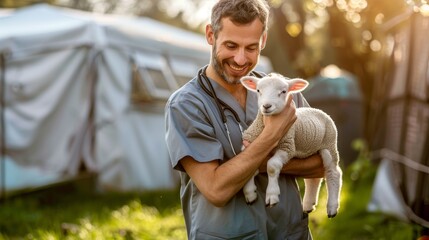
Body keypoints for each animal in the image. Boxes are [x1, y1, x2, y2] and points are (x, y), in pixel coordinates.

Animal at [241, 72, 342, 218]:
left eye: (283, 91)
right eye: (258, 90)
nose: (267, 106)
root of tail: (317, 109)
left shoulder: (287, 146)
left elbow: (272, 166)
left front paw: (272, 195)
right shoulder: (250, 143)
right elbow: (248, 168)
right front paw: (249, 193)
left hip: (329, 144)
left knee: (334, 172)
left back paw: (332, 207)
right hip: (310, 149)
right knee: (313, 179)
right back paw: (308, 205)